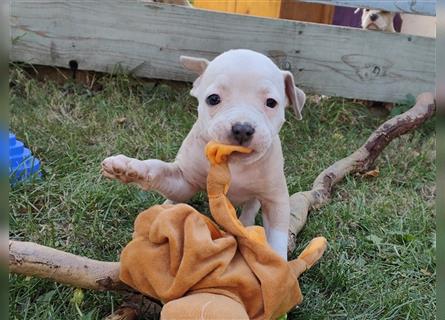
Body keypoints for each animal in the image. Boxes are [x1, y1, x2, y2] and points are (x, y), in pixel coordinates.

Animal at [101, 48, 306, 258]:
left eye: (271, 103)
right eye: (213, 99)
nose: (242, 129)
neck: (234, 163)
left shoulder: (276, 199)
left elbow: (277, 235)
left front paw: (278, 262)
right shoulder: (184, 181)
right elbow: (158, 169)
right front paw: (130, 167)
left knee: (250, 207)